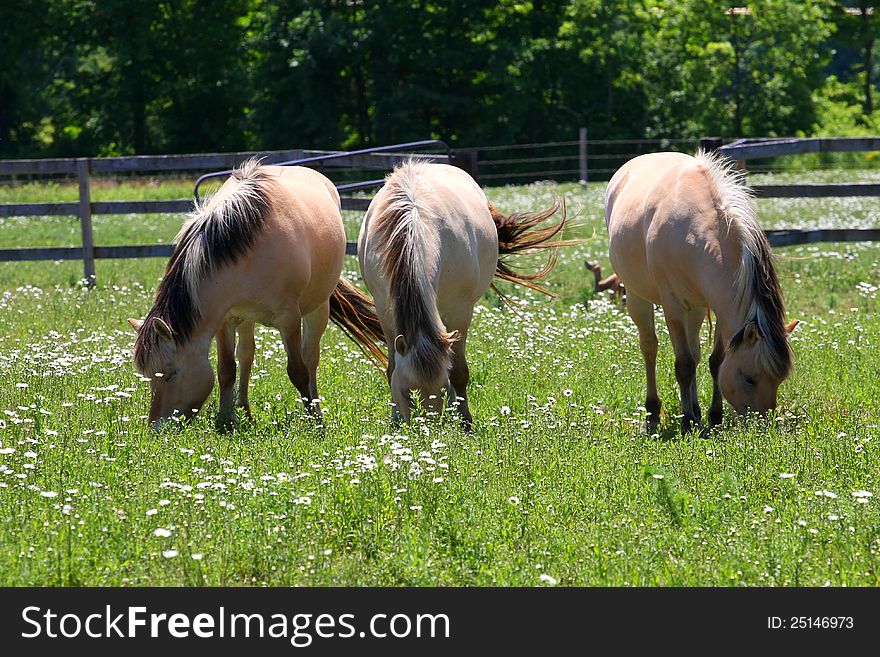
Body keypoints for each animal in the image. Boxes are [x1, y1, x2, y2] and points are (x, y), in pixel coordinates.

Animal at [128, 156, 384, 428]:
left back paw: (315, 409)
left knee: (311, 358)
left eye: (170, 374)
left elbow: (298, 371)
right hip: (245, 317)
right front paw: (225, 420)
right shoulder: (224, 319)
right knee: (246, 355)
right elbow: (226, 369)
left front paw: (314, 421)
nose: (156, 427)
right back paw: (244, 409)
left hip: (318, 308)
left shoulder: (289, 318)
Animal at [358, 158, 572, 426]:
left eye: (440, 388)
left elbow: (458, 371)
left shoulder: (460, 311)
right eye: (407, 393)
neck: (412, 223)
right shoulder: (385, 310)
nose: (425, 431)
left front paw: (465, 421)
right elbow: (391, 369)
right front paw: (396, 420)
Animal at [604, 151, 796, 434]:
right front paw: (688, 421)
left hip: (694, 309)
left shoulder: (717, 307)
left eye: (779, 379)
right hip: (638, 297)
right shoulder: (672, 304)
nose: (764, 424)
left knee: (694, 352)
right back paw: (653, 414)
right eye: (749, 378)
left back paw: (694, 408)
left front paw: (714, 416)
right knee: (650, 347)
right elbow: (683, 364)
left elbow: (715, 361)